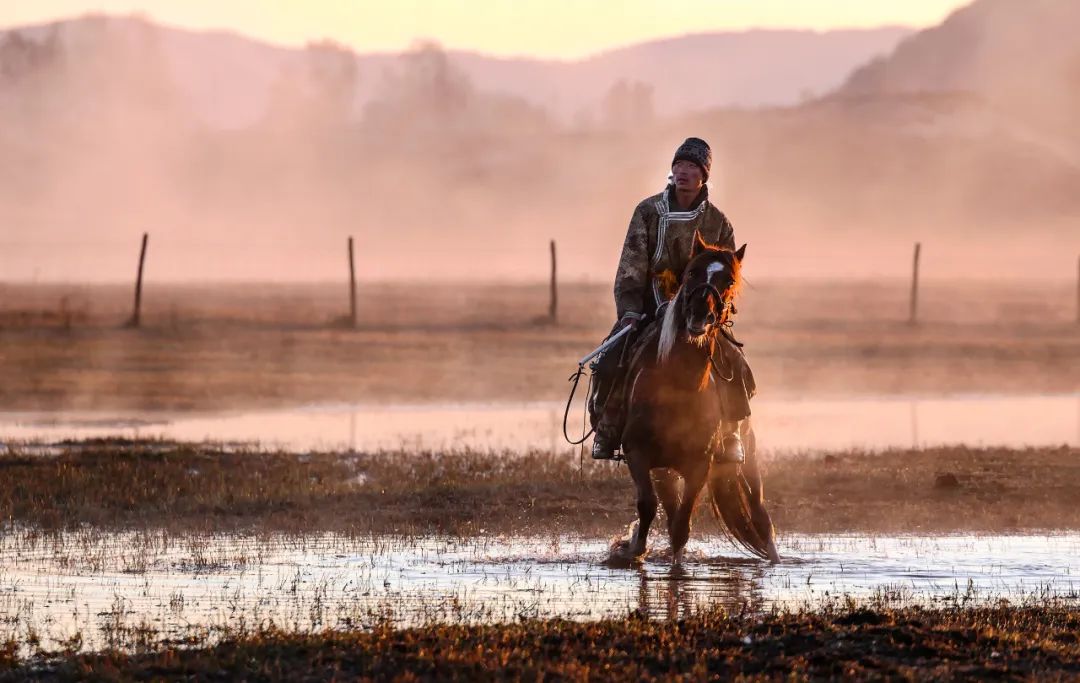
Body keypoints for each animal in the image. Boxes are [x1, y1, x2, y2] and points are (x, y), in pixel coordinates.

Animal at [609, 234, 777, 566]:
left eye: (729, 280)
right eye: (691, 273)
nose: (700, 313)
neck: (678, 387)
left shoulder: (699, 464)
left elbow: (681, 527)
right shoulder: (638, 453)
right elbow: (648, 506)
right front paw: (632, 548)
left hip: (746, 456)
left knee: (759, 512)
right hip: (664, 469)